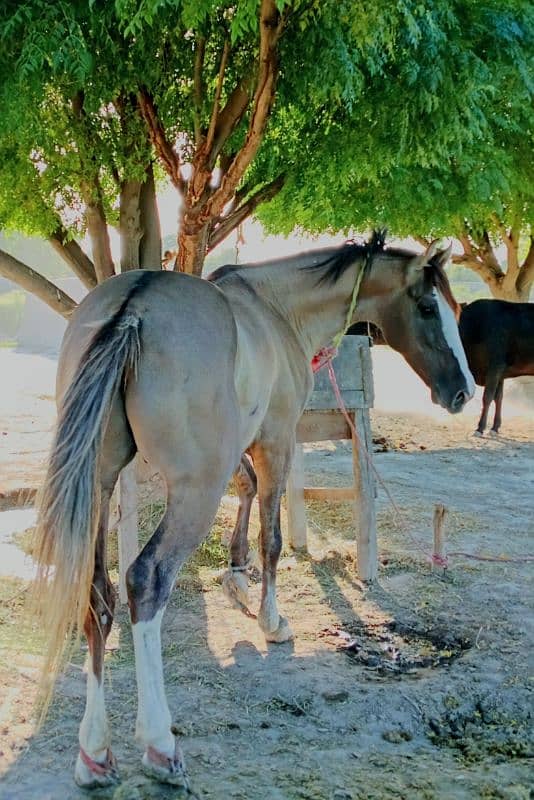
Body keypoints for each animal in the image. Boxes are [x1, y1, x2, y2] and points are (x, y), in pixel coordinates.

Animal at [33, 234, 476, 792]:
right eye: (427, 308)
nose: (463, 391)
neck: (276, 308)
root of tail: (131, 309)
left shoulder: (243, 445)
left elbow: (244, 489)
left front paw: (236, 574)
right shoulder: (276, 440)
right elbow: (273, 536)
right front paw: (271, 619)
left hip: (99, 483)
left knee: (98, 595)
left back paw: (94, 753)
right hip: (193, 492)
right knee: (145, 580)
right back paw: (158, 744)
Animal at [458, 300, 534, 438]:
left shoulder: (495, 367)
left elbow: (487, 397)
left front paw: (480, 428)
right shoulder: (501, 373)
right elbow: (498, 398)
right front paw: (495, 427)